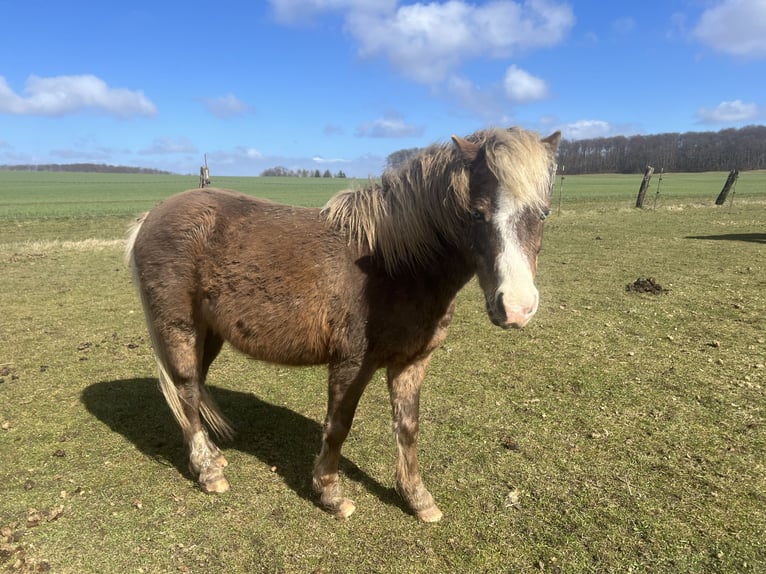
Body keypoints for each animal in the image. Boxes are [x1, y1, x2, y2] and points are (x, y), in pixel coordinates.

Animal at [125, 127, 560, 522]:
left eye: (543, 212)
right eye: (476, 213)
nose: (516, 307)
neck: (395, 263)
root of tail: (151, 216)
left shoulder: (412, 362)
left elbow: (408, 427)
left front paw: (417, 498)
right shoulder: (351, 364)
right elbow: (338, 426)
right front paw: (330, 494)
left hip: (209, 332)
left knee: (195, 386)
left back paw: (215, 456)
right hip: (179, 327)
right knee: (186, 389)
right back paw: (208, 471)